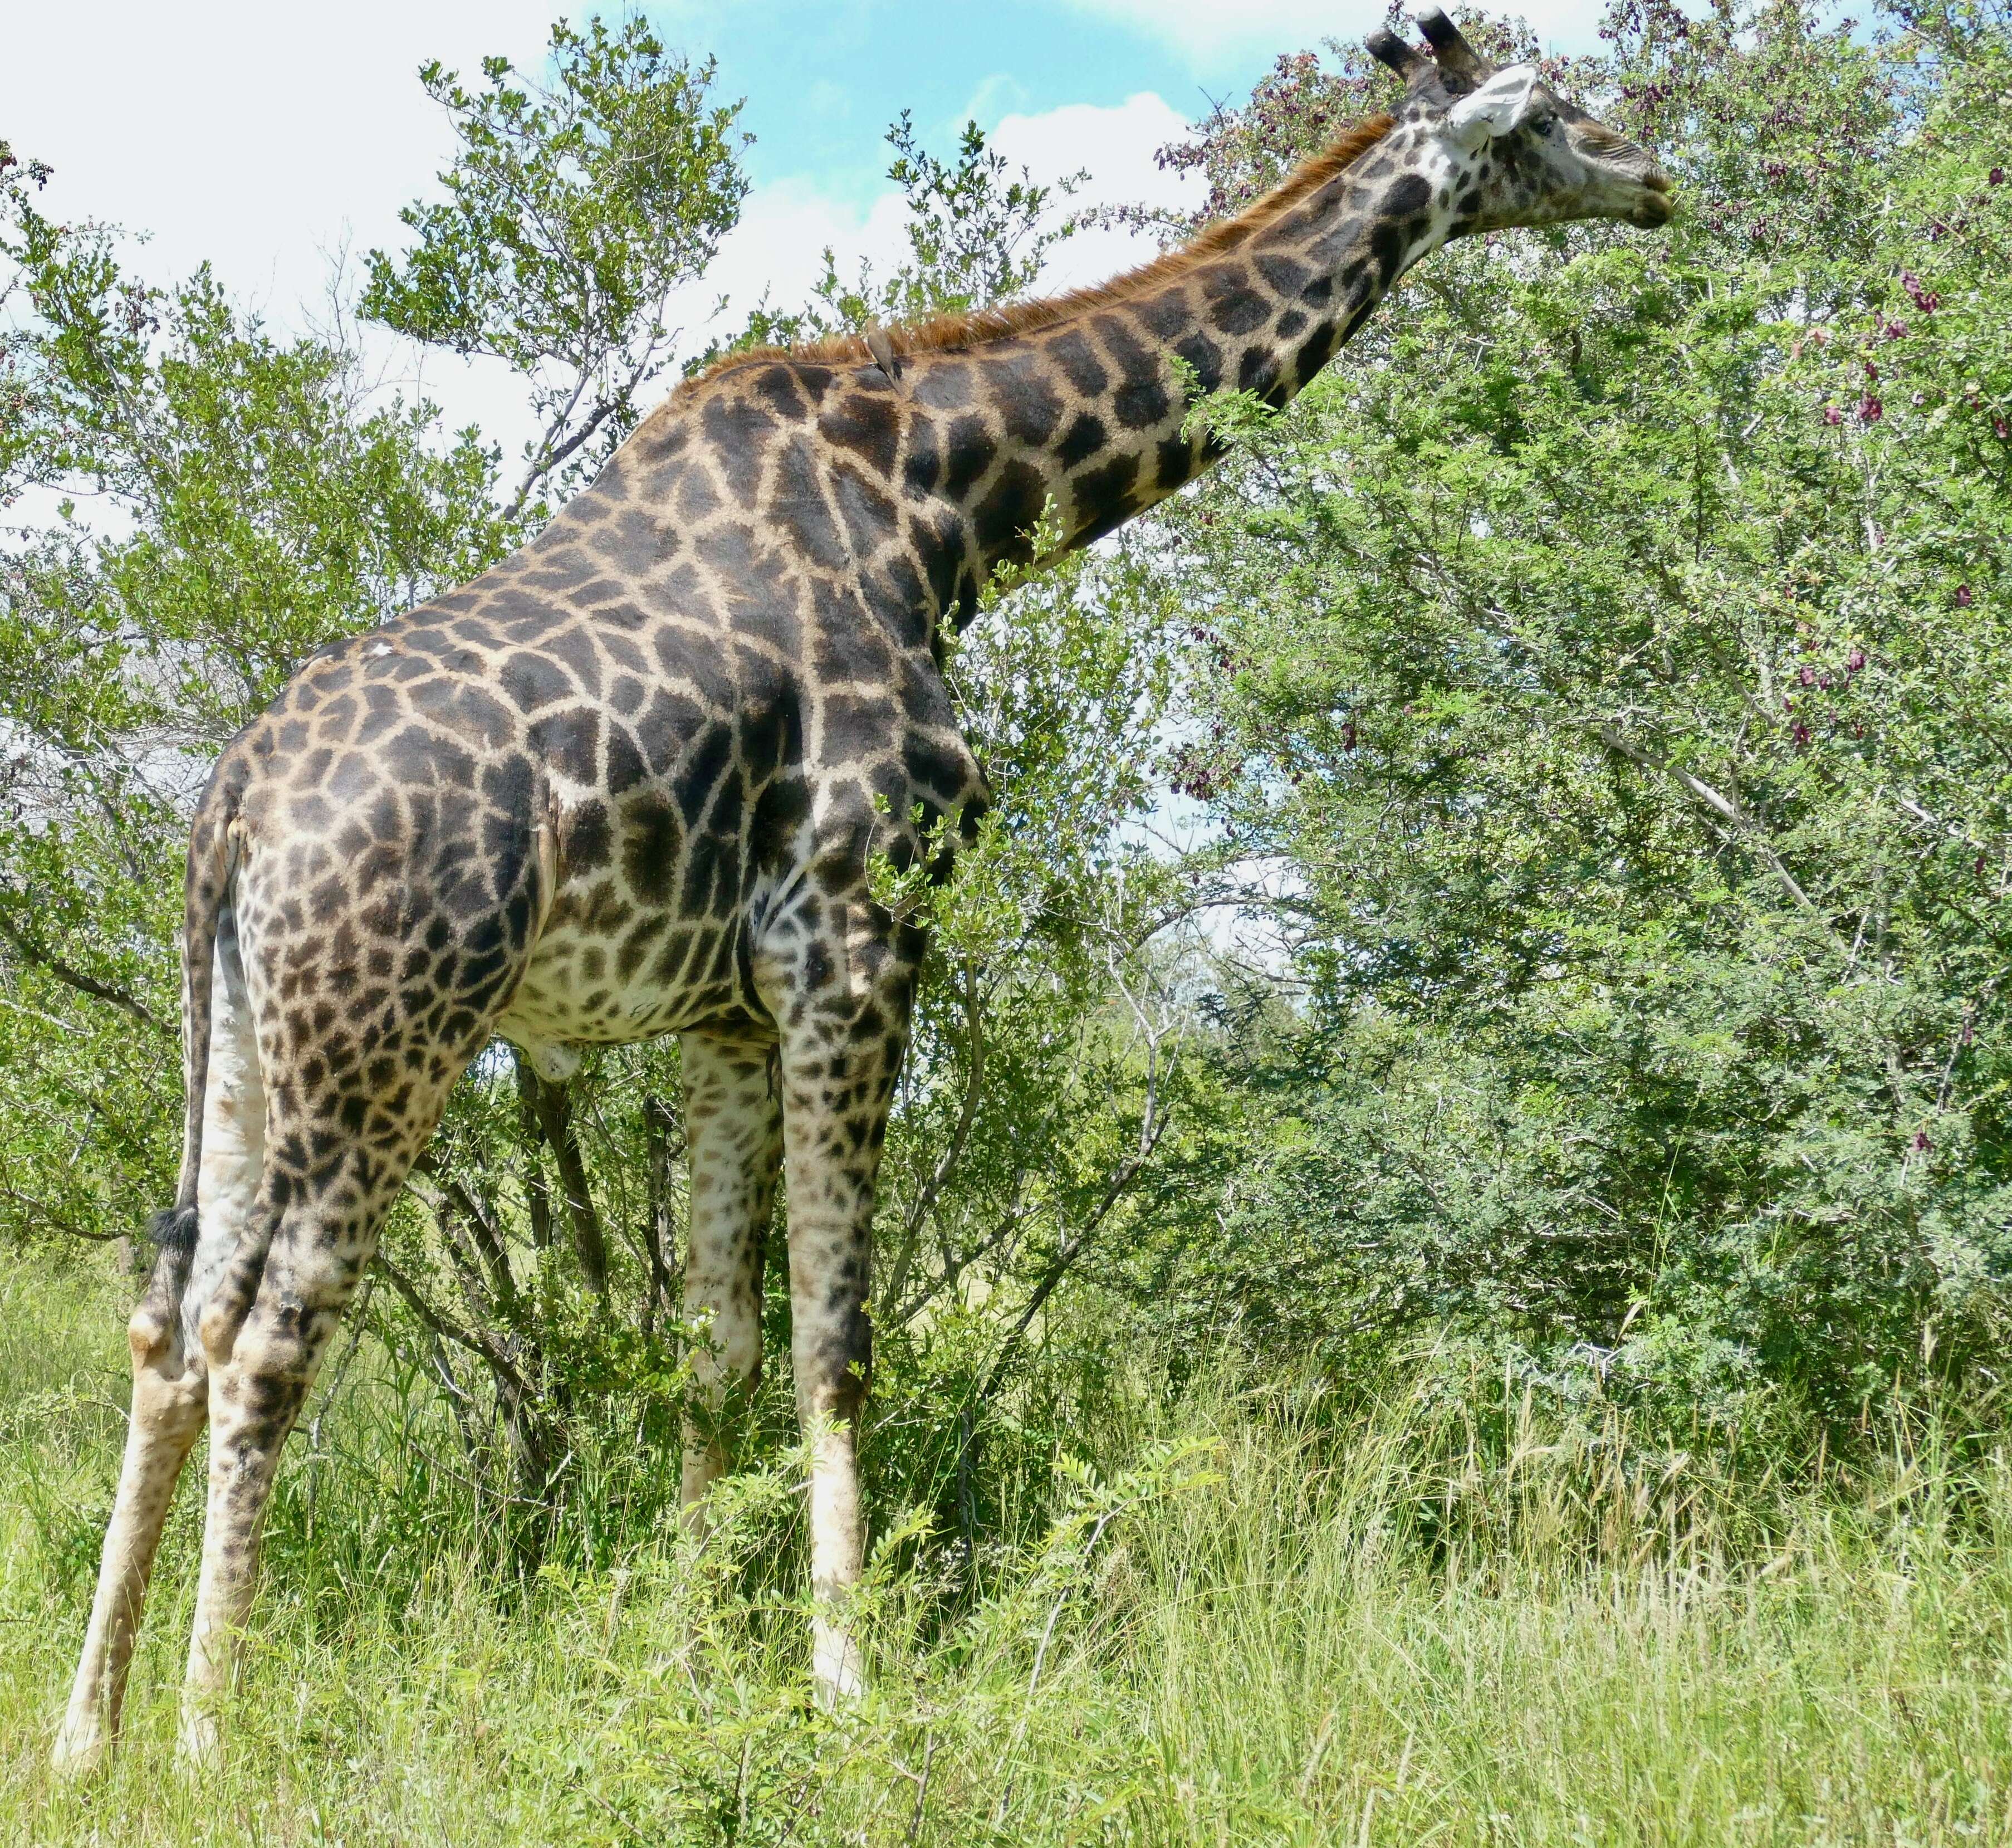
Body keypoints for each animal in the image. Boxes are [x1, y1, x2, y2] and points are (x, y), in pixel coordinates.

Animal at [58, 14, 1666, 1779]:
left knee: (171, 1318)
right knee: (271, 1332)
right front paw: (846, 1687)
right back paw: (210, 1730)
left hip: (240, 1041)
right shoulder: (858, 936)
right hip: (387, 1036)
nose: (1657, 172)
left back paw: (87, 1729)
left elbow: (716, 1345)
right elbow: (839, 1340)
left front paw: (687, 1671)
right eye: (1552, 112)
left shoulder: (722, 1013)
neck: (944, 505)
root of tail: (233, 808)